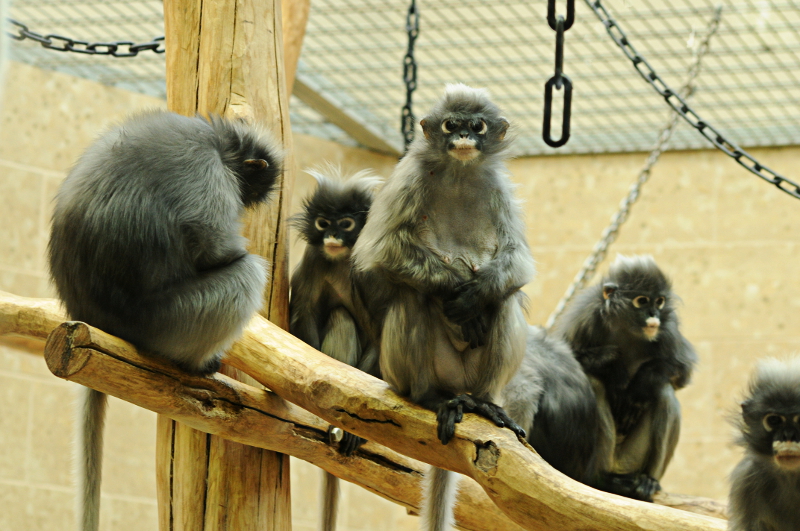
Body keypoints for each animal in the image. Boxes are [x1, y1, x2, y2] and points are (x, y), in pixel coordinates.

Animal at [47, 110, 282, 531]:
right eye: (248, 191)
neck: (215, 137)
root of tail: (91, 318)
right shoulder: (207, 167)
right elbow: (214, 247)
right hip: (171, 323)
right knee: (249, 271)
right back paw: (197, 364)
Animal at [288, 165, 382, 531]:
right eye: (322, 223)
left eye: (345, 224)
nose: (332, 237)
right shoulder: (313, 259)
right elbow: (303, 319)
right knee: (340, 315)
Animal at [352, 84, 536, 531]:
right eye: (452, 124)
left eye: (478, 126)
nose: (464, 137)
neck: (459, 172)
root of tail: (458, 388)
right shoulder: (409, 176)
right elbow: (381, 249)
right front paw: (457, 293)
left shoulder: (499, 187)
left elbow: (519, 261)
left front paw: (472, 296)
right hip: (402, 372)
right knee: (413, 295)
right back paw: (430, 398)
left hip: (473, 374)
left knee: (504, 298)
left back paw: (485, 403)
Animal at [552, 254, 696, 502]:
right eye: (642, 301)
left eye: (659, 302)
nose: (654, 316)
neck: (626, 329)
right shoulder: (585, 316)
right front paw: (613, 367)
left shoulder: (668, 326)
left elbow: (682, 372)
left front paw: (638, 387)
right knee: (594, 382)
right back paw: (602, 479)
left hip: (632, 459)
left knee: (664, 391)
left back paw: (647, 481)